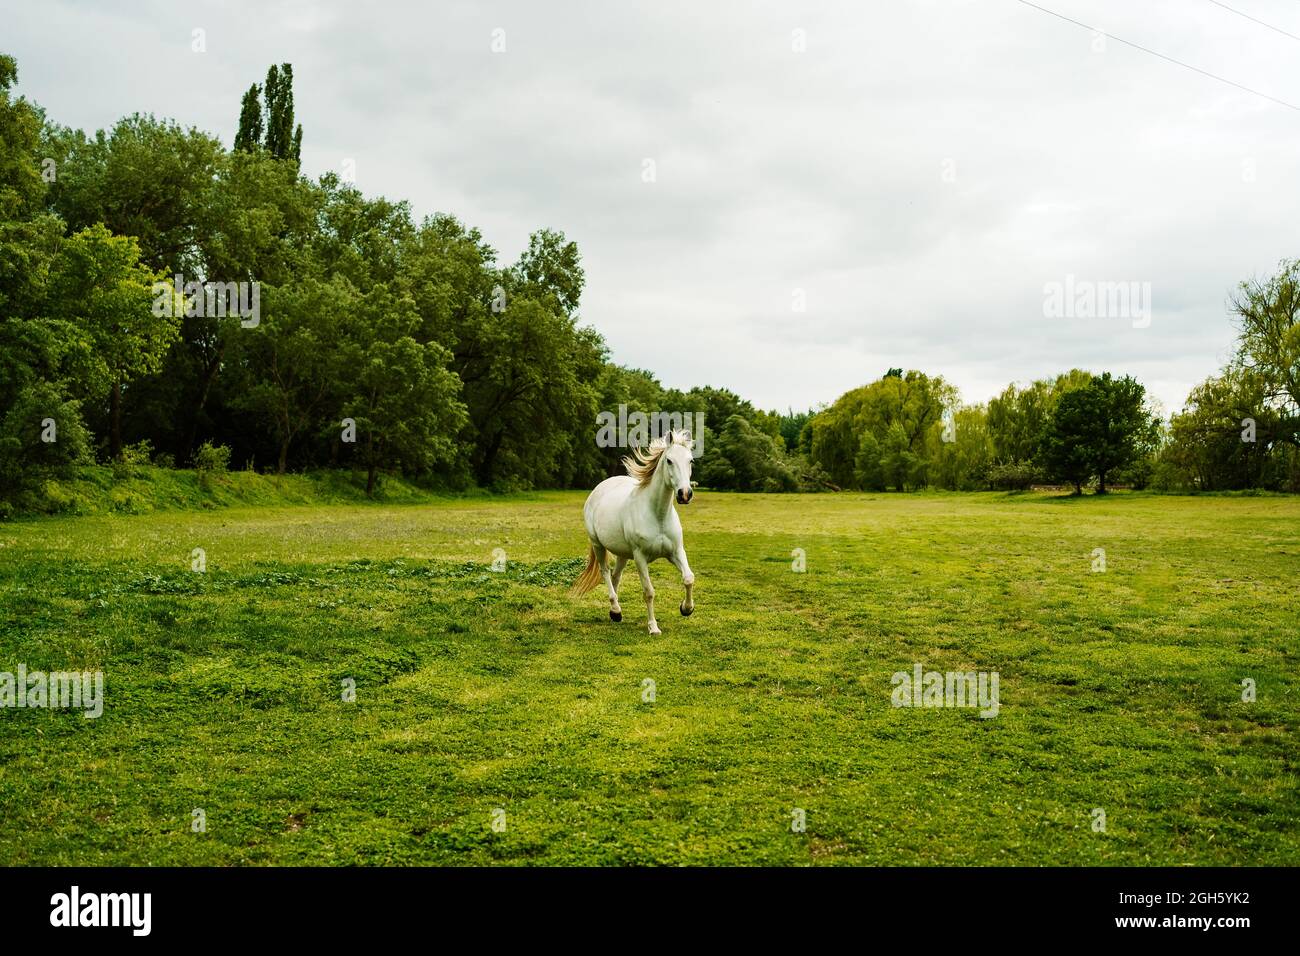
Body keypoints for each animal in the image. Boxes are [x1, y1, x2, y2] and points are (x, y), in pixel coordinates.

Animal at [572, 434, 696, 634]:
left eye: (690, 460)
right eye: (669, 461)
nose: (684, 494)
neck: (658, 515)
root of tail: (599, 489)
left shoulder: (676, 551)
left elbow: (688, 578)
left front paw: (686, 609)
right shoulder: (640, 557)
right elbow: (649, 592)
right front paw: (653, 627)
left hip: (622, 553)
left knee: (616, 576)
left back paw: (614, 613)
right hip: (598, 545)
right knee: (605, 572)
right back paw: (616, 609)